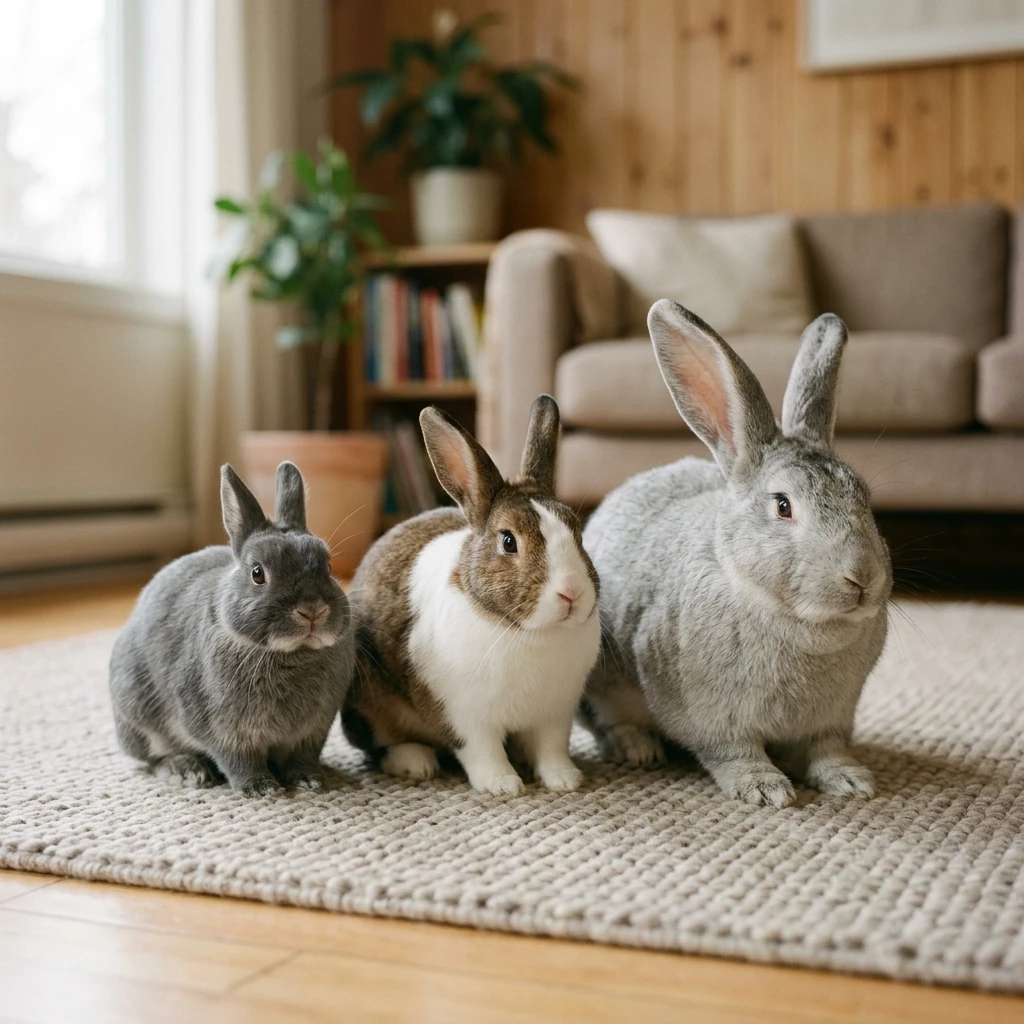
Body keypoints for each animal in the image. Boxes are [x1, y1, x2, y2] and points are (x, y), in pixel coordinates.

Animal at [109, 461, 354, 796]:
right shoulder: (223, 731)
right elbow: (238, 761)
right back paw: (188, 770)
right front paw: (261, 788)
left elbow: (301, 758)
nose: (312, 611)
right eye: (257, 573)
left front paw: (309, 780)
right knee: (153, 758)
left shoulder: (311, 732)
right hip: (139, 715)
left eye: (327, 567)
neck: (291, 654)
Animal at [342, 395, 601, 796]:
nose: (571, 594)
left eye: (577, 532)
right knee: (379, 745)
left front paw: (565, 780)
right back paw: (416, 762)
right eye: (508, 542)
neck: (529, 633)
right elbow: (482, 751)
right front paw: (503, 785)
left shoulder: (555, 714)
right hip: (369, 703)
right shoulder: (463, 715)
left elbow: (551, 748)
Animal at [580, 299, 892, 808]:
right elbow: (733, 751)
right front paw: (765, 788)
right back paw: (638, 749)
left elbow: (825, 749)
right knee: (610, 723)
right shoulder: (712, 715)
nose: (863, 577)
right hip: (605, 684)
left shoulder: (833, 718)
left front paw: (851, 781)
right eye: (783, 506)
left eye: (863, 497)